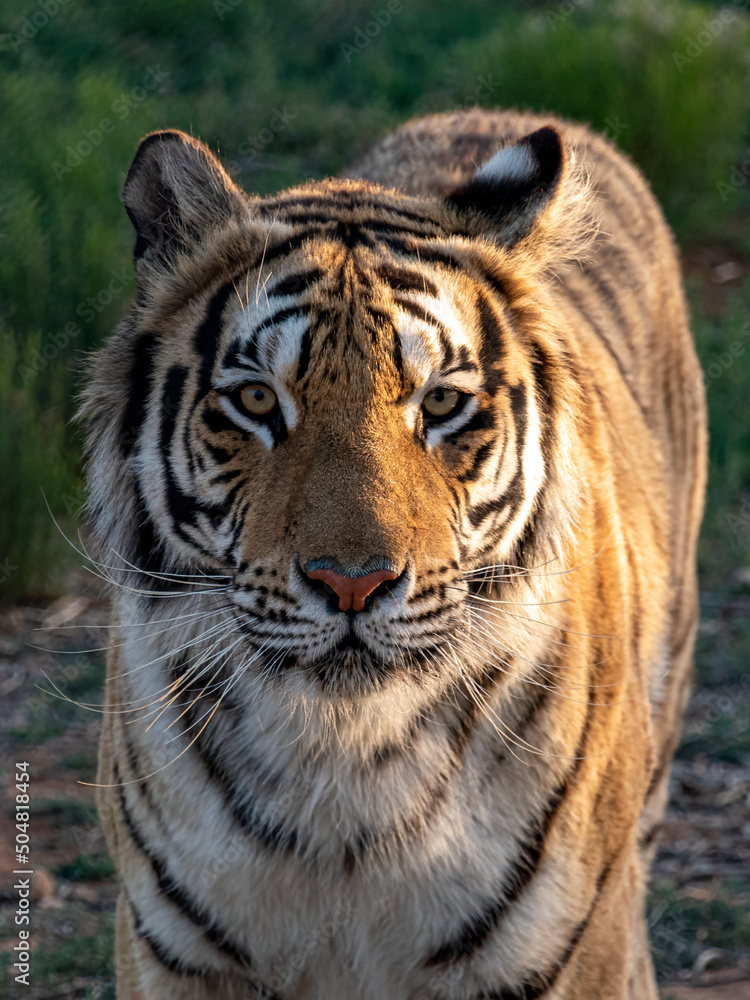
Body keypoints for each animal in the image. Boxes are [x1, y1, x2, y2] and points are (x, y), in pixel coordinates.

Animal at [83, 108, 707, 1000]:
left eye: (441, 403)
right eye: (257, 400)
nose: (355, 584)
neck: (345, 771)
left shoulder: (573, 947)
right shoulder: (172, 954)